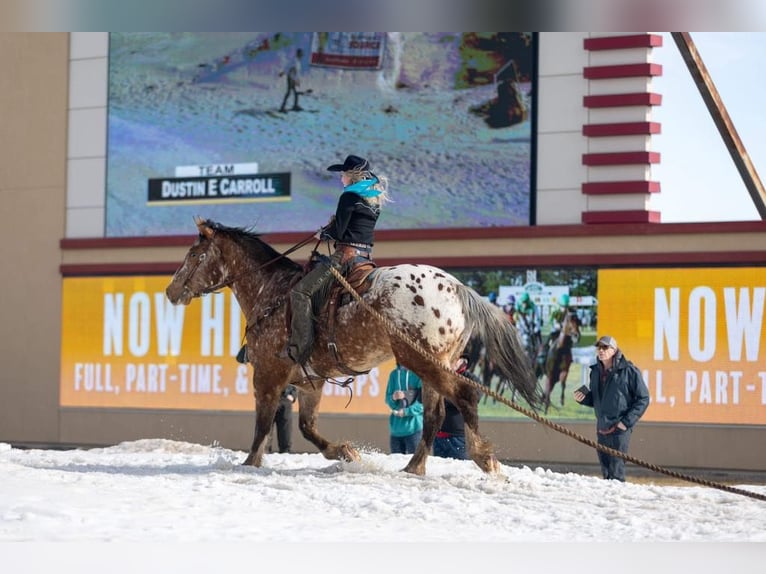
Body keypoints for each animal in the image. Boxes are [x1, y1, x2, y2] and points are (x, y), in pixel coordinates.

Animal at [166, 218, 544, 474]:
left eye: (195, 255)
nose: (171, 291)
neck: (272, 292)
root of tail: (457, 287)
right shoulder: (311, 381)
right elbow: (307, 426)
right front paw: (345, 452)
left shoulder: (268, 375)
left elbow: (263, 423)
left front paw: (250, 462)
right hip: (435, 364)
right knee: (435, 415)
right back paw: (414, 468)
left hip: (423, 361)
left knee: (464, 396)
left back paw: (483, 457)